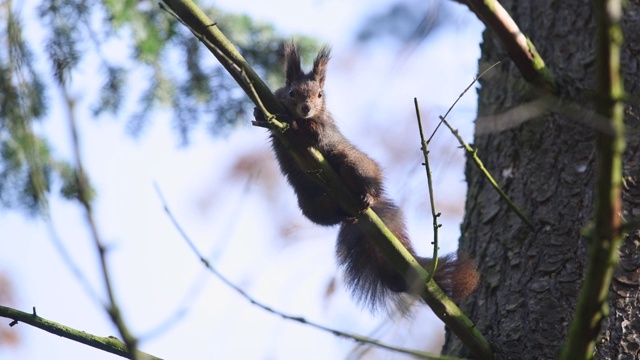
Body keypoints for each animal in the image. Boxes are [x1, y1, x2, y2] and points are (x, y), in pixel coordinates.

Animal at [252, 43, 478, 312]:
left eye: (320, 95)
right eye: (292, 92)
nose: (306, 109)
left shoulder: (327, 130)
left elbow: (318, 134)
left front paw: (298, 125)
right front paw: (260, 113)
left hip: (355, 164)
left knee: (363, 181)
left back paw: (367, 197)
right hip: (310, 206)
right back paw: (345, 215)